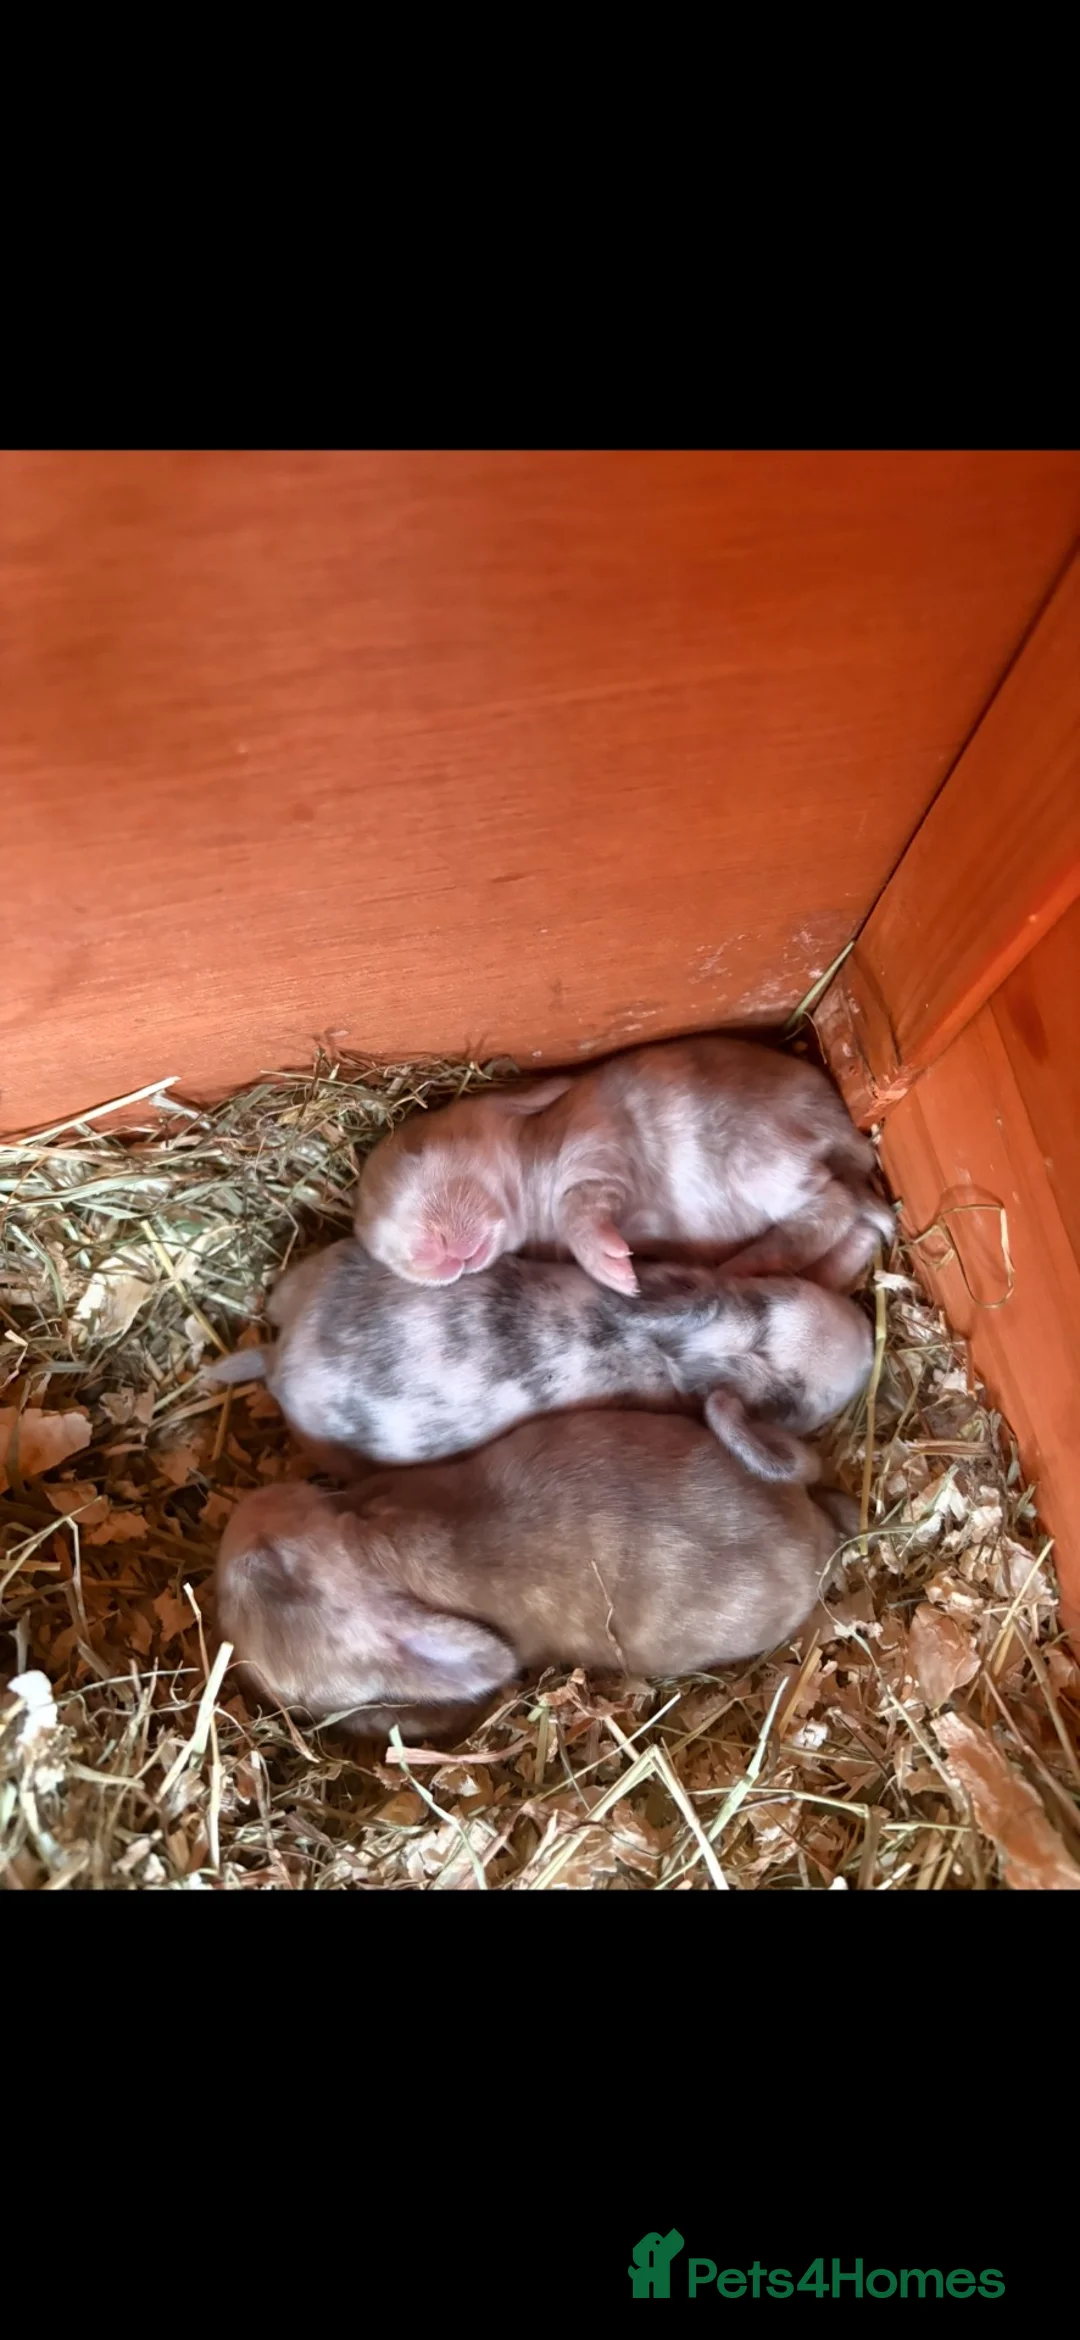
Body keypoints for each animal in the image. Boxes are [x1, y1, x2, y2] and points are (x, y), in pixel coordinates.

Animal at [353, 1035, 894, 1300]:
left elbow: (579, 1205)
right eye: (380, 1252)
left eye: (419, 1150)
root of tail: (845, 1137)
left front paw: (615, 1271)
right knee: (856, 1232)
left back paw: (745, 1265)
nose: (427, 1256)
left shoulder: (595, 1150)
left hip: (762, 1160)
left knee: (832, 1207)